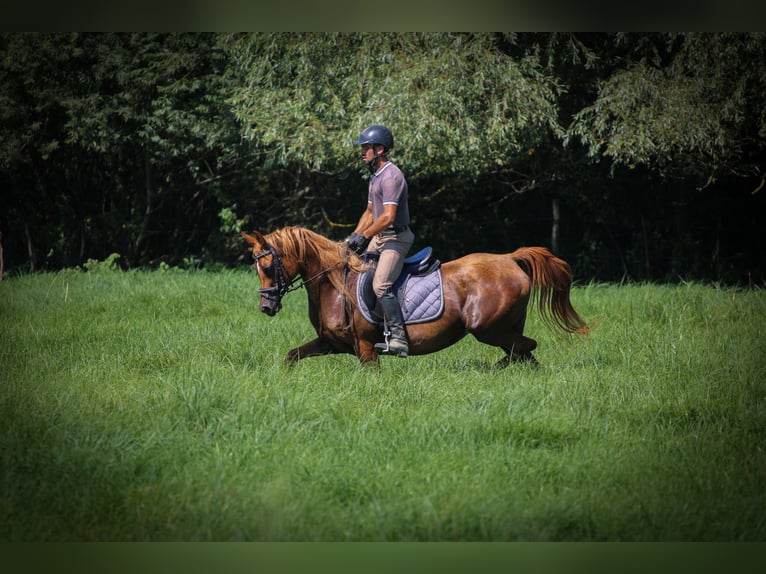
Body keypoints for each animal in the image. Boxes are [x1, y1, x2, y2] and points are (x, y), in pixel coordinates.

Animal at [243, 226, 592, 368]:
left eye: (267, 266)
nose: (266, 306)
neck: (335, 285)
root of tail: (510, 258)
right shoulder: (331, 343)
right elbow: (291, 357)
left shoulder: (365, 347)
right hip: (504, 329)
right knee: (525, 354)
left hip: (487, 329)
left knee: (525, 348)